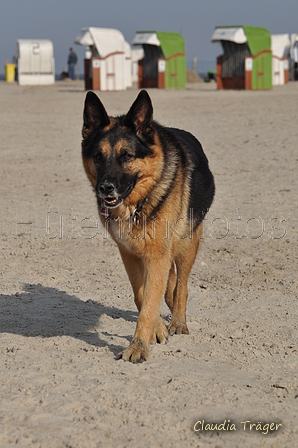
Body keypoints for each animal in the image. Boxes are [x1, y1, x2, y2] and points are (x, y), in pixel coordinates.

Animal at [82, 89, 214, 362]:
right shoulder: (130, 253)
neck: (137, 205)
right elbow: (143, 295)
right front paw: (157, 330)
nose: (105, 188)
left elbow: (151, 301)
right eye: (98, 157)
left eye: (127, 156)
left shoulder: (156, 255)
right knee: (170, 282)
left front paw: (138, 346)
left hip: (188, 245)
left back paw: (178, 321)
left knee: (182, 286)